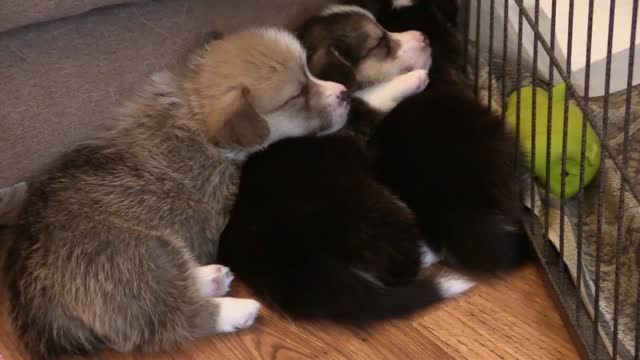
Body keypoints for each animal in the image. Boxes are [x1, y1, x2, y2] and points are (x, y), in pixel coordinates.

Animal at [3, 26, 350, 358]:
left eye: (309, 71)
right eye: (298, 93)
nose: (346, 94)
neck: (198, 116)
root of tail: (39, 310)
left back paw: (212, 278)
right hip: (138, 254)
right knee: (175, 318)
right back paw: (236, 310)